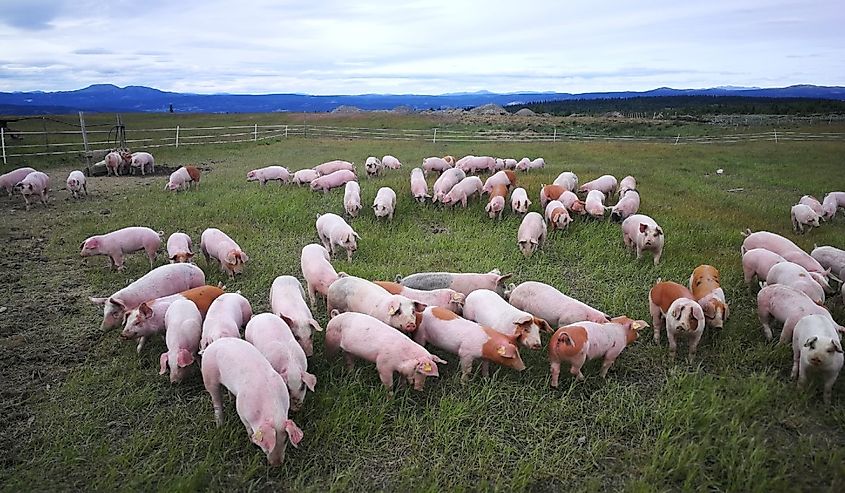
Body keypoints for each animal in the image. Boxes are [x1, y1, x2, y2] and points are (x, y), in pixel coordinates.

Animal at [199, 336, 302, 464]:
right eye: (266, 445)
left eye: (285, 440)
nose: (277, 465)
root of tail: (212, 345)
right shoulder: (241, 410)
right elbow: (248, 427)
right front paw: (251, 440)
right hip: (209, 376)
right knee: (216, 400)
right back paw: (220, 425)